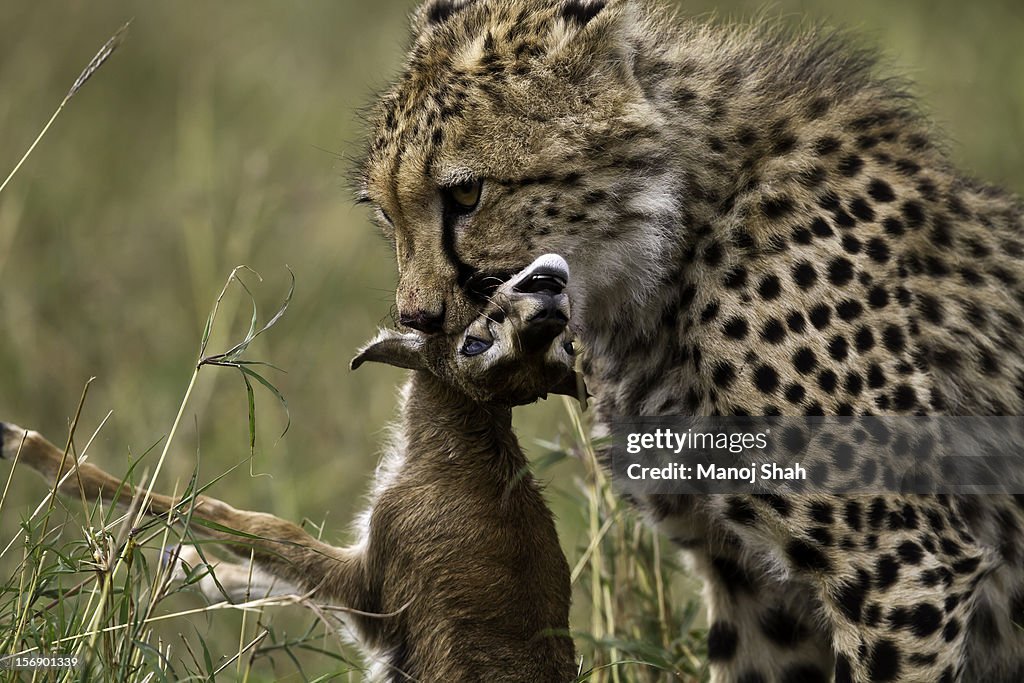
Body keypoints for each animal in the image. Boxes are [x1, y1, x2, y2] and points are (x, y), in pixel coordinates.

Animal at [356, 2, 1024, 679]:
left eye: (467, 193)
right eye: (385, 211)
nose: (418, 318)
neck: (682, 233)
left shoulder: (900, 565)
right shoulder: (745, 577)